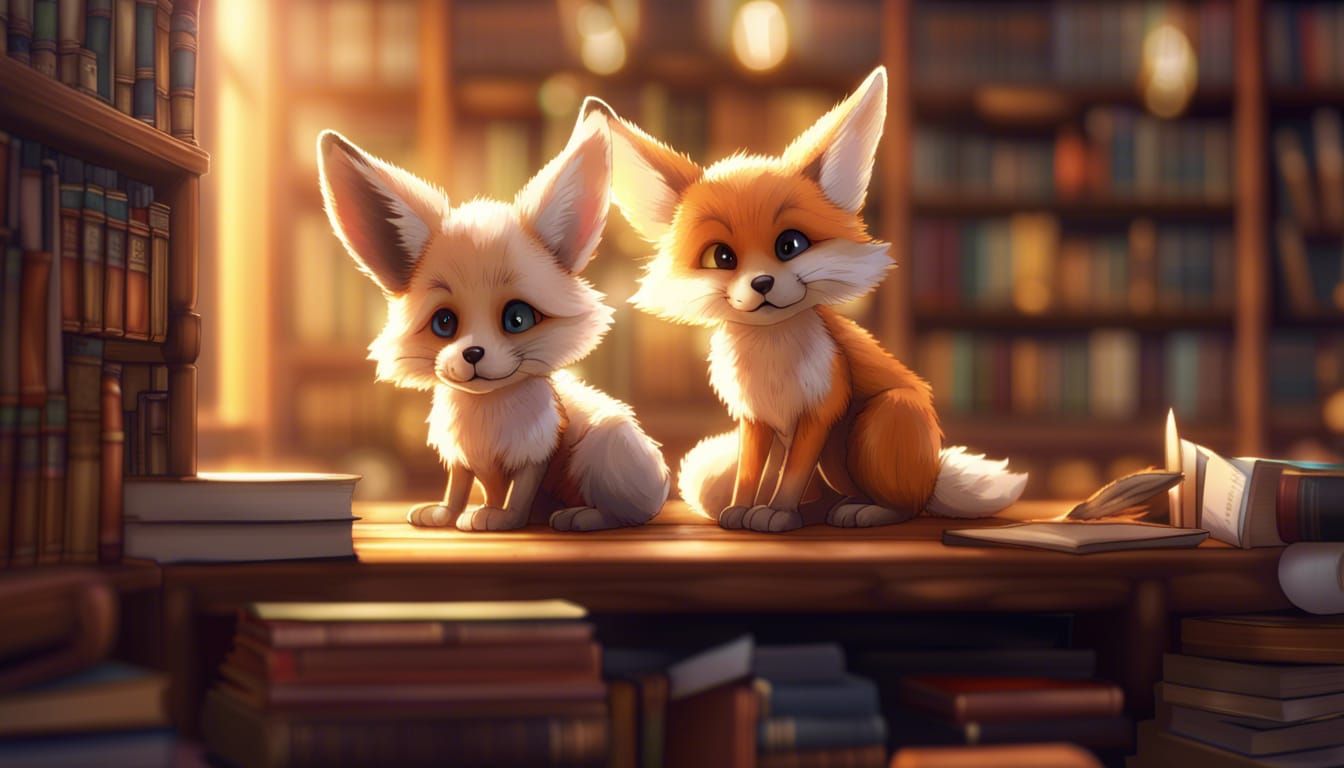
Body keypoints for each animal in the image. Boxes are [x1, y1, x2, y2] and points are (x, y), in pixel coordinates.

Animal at [315, 113, 670, 532]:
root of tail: (663, 482)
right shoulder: (461, 455)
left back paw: (581, 516)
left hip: (607, 446)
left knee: (628, 513)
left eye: (517, 319)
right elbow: (457, 484)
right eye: (444, 322)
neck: (485, 410)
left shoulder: (537, 451)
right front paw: (443, 514)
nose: (472, 353)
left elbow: (520, 493)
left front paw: (502, 519)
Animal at [585, 66, 1026, 532]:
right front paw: (740, 510)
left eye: (790, 245)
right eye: (721, 257)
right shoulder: (756, 419)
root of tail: (933, 473)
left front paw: (777, 513)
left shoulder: (821, 409)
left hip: (877, 423)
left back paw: (867, 510)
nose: (761, 283)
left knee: (908, 505)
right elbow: (749, 473)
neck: (771, 355)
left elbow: (791, 475)